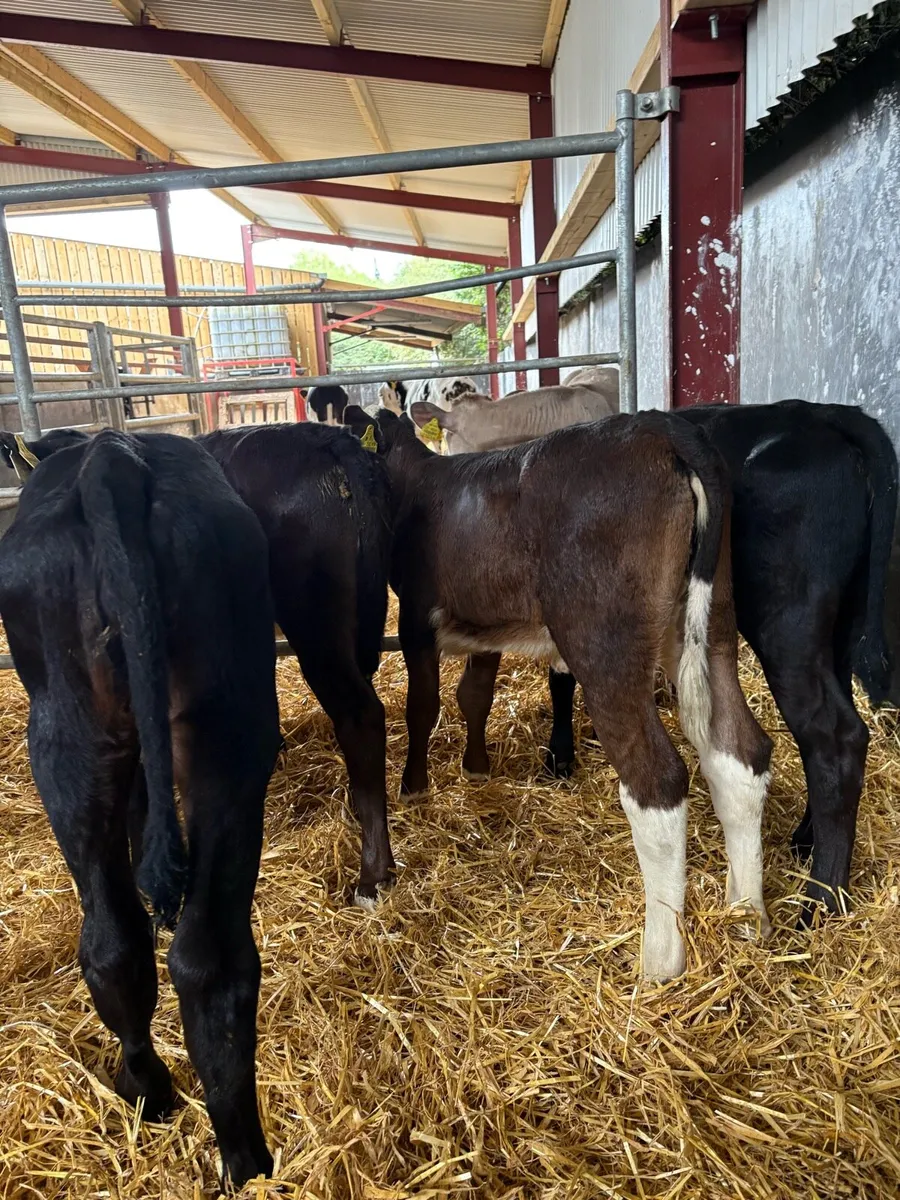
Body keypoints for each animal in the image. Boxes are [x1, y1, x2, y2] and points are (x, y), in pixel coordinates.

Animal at [0, 427, 280, 1187]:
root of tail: (113, 459)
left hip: (120, 735)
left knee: (156, 946)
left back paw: (190, 1119)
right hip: (167, 733)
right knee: (170, 952)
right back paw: (206, 1133)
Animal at [343, 406, 773, 980]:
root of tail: (664, 428)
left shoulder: (415, 617)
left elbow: (422, 706)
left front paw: (414, 785)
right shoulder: (484, 625)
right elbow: (474, 693)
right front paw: (475, 768)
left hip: (603, 638)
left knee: (657, 780)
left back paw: (660, 962)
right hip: (711, 621)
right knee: (739, 750)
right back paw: (746, 915)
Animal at [433, 399, 897, 922]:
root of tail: (826, 412)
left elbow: (546, 679)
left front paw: (553, 757)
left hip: (787, 620)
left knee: (832, 737)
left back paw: (820, 902)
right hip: (838, 625)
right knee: (836, 730)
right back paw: (804, 844)